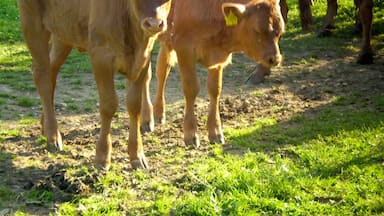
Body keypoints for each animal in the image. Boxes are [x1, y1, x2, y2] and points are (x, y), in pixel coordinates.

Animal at [18, 0, 172, 169]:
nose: (154, 24)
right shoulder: (101, 58)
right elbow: (108, 105)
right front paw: (102, 158)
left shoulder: (143, 59)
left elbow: (134, 106)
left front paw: (137, 155)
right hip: (33, 26)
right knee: (42, 76)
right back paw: (53, 136)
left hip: (62, 34)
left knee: (51, 71)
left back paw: (45, 125)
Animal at [153, 0, 284, 147]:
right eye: (257, 30)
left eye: (280, 31)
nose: (275, 59)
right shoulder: (184, 49)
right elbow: (191, 89)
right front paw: (190, 134)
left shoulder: (218, 57)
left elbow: (215, 89)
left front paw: (215, 132)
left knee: (162, 70)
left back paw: (158, 113)